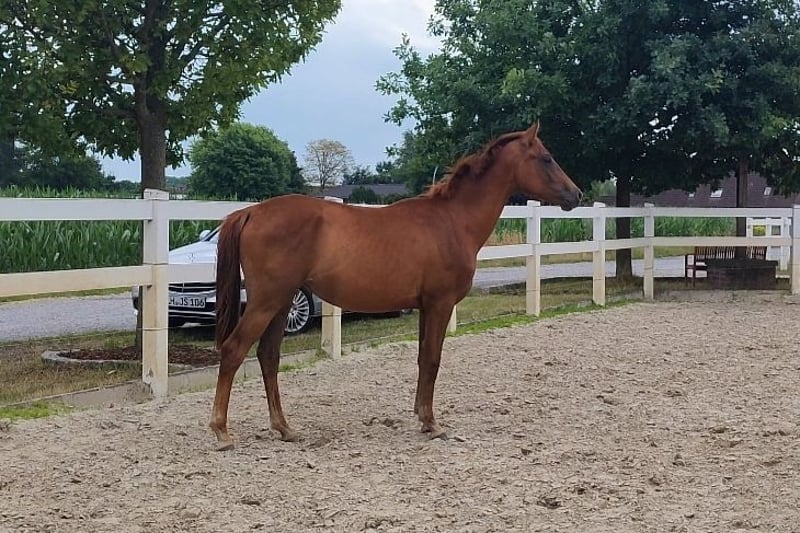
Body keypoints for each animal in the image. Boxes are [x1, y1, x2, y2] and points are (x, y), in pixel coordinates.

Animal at [210, 122, 582, 451]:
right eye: (546, 158)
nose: (576, 194)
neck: (452, 221)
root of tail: (251, 213)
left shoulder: (425, 306)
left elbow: (422, 358)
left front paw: (421, 415)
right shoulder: (440, 304)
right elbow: (432, 359)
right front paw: (432, 423)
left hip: (282, 302)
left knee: (268, 356)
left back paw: (284, 428)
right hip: (267, 301)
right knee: (234, 351)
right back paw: (222, 432)